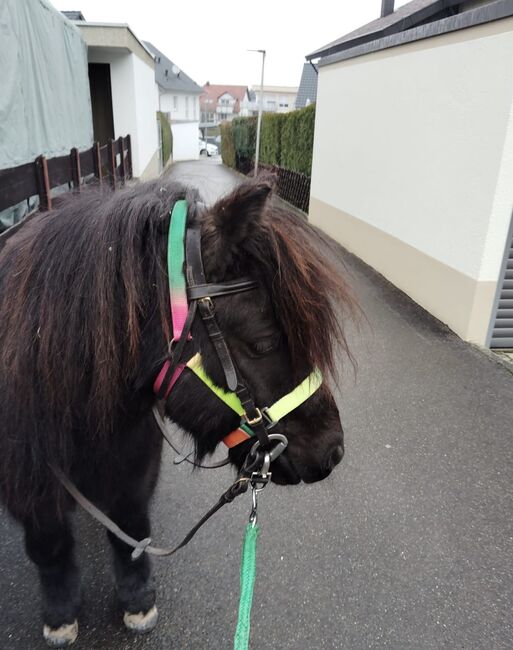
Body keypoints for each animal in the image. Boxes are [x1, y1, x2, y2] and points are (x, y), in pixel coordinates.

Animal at [0, 176, 354, 644]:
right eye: (263, 342)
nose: (333, 450)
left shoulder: (134, 468)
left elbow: (131, 530)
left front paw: (136, 598)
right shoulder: (28, 483)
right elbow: (49, 544)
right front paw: (60, 613)